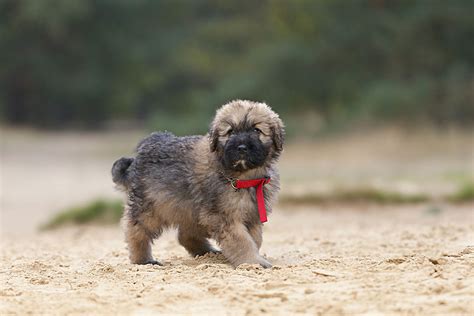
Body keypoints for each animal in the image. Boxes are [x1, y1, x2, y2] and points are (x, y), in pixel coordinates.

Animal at [111, 100, 284, 268]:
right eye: (230, 132)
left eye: (256, 130)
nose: (241, 148)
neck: (244, 177)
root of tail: (146, 145)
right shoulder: (225, 217)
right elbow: (242, 241)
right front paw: (253, 261)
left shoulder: (252, 216)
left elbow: (255, 239)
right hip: (151, 207)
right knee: (136, 231)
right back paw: (143, 260)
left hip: (190, 208)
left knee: (185, 235)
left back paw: (207, 252)